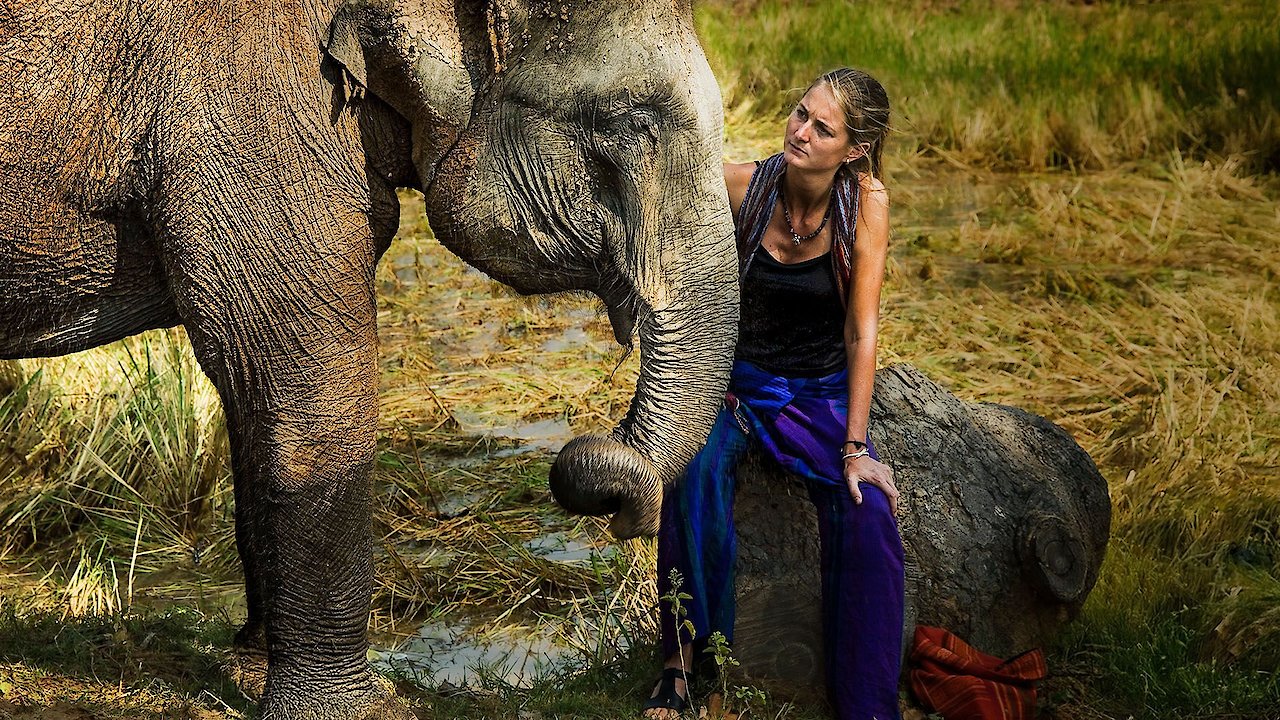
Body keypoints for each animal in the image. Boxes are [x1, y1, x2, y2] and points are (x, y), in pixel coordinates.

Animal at [0, 1, 738, 718]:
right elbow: (305, 380)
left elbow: (254, 391)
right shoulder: (249, 120)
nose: (626, 518)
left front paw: (248, 671)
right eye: (629, 123)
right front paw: (350, 709)